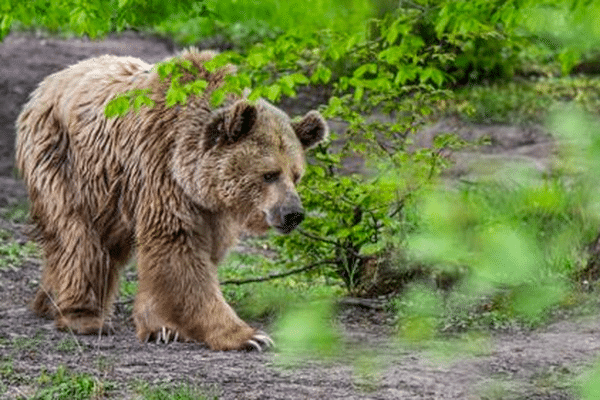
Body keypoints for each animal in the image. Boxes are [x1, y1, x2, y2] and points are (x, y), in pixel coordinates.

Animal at [15, 48, 328, 352]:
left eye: (297, 175)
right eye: (269, 174)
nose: (292, 213)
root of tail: (49, 83)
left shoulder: (211, 210)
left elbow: (194, 257)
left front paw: (161, 326)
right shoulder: (161, 173)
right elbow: (179, 252)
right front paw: (248, 336)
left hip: (108, 190)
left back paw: (47, 301)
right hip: (64, 162)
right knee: (79, 238)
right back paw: (83, 317)